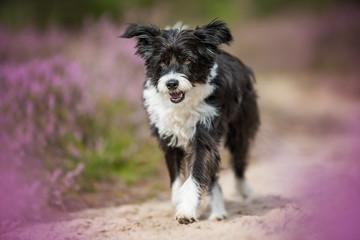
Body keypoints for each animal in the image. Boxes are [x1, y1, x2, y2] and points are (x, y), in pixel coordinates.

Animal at [121, 19, 258, 224]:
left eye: (187, 60)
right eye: (161, 62)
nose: (171, 83)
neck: (182, 104)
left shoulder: (204, 135)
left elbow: (197, 173)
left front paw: (186, 210)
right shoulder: (169, 140)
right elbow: (179, 180)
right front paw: (183, 201)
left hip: (240, 129)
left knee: (238, 162)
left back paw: (241, 191)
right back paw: (217, 209)